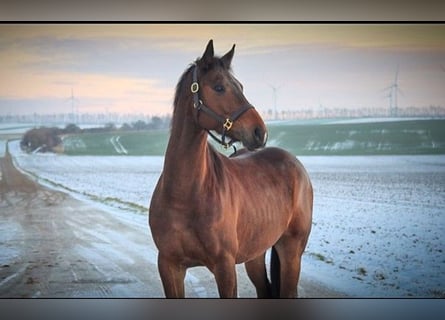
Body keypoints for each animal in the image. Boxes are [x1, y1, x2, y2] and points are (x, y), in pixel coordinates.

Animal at [149, 39, 312, 298]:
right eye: (219, 87)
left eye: (241, 86)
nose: (259, 131)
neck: (184, 194)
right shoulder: (169, 265)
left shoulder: (224, 268)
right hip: (255, 254)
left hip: (291, 251)